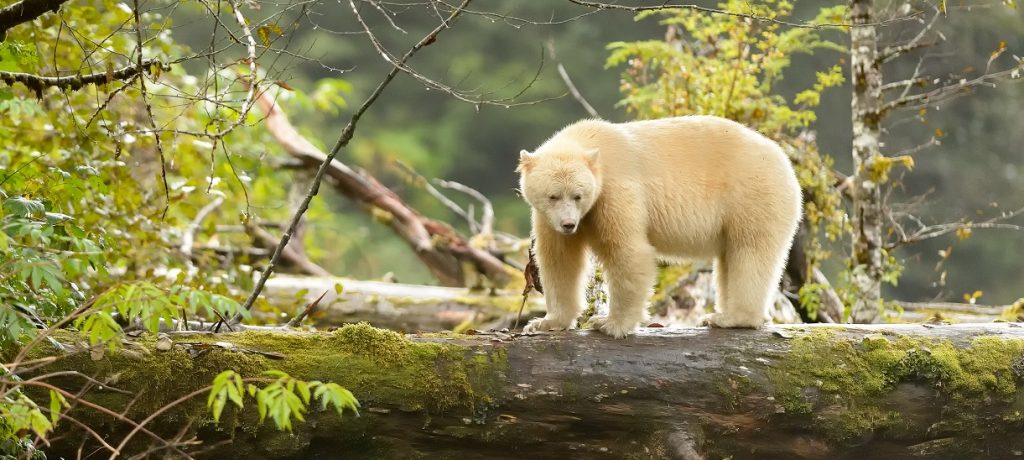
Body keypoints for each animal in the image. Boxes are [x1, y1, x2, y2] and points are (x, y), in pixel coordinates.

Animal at [520, 114, 798, 336]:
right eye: (553, 196)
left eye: (578, 195)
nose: (568, 224)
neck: (591, 141)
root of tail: (785, 161)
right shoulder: (548, 218)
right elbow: (559, 261)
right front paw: (545, 323)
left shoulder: (615, 190)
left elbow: (628, 252)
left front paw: (609, 323)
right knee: (730, 258)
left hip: (752, 194)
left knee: (750, 251)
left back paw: (731, 318)